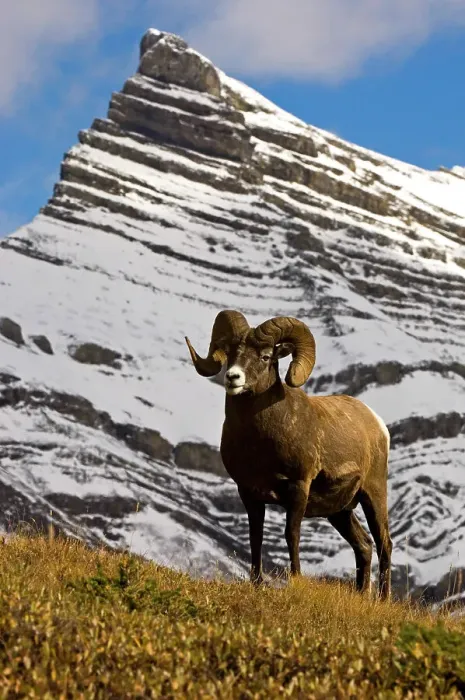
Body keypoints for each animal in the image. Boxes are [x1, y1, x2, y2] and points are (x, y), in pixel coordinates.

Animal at [185, 310, 392, 599]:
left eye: (265, 357)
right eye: (231, 352)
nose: (233, 378)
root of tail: (377, 423)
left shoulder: (297, 488)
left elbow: (291, 534)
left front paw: (295, 580)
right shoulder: (248, 492)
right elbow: (255, 536)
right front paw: (257, 583)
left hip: (373, 494)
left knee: (385, 544)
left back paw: (383, 599)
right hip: (339, 512)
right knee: (363, 545)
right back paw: (362, 595)